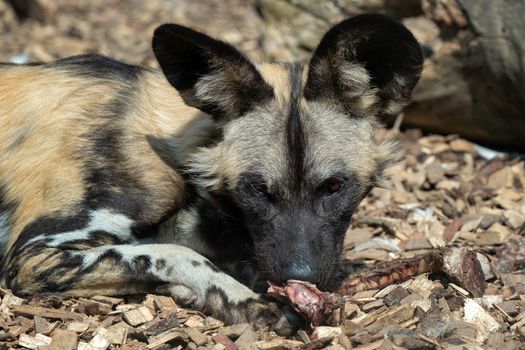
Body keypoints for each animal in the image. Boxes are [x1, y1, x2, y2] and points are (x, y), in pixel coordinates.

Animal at [0, 14, 420, 334]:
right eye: (258, 189)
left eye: (334, 186)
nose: (299, 275)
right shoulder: (32, 257)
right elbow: (176, 253)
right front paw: (244, 300)